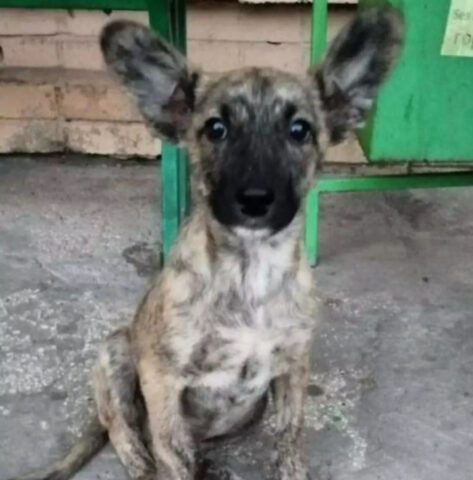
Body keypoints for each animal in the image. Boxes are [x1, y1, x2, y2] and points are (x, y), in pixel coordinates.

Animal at [11, 9, 400, 480]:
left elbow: (290, 441)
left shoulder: (293, 367)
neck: (250, 271)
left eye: (299, 130)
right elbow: (171, 451)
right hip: (116, 353)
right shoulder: (163, 379)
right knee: (128, 435)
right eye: (216, 129)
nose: (255, 200)